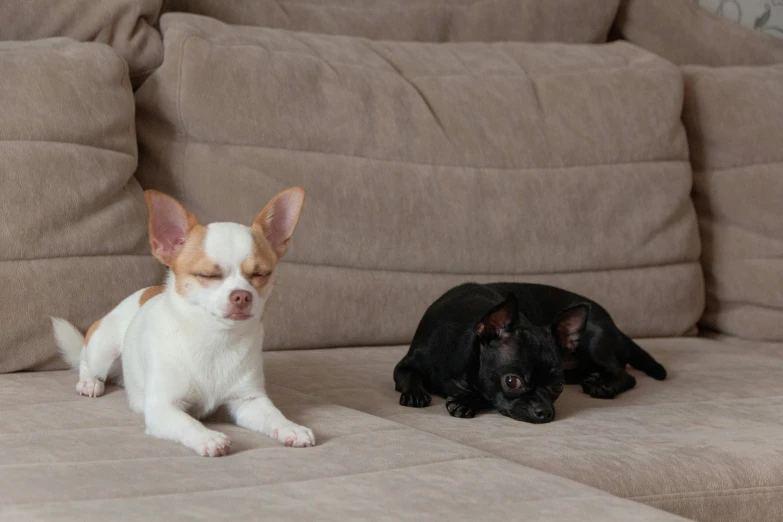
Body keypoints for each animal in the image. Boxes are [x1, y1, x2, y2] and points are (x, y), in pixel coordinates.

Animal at [50, 188, 316, 456]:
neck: (215, 339)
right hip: (103, 347)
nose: (242, 295)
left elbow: (274, 415)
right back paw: (89, 383)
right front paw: (209, 437)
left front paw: (291, 428)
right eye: (208, 275)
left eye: (261, 274)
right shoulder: (163, 408)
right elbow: (189, 422)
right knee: (86, 364)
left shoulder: (248, 402)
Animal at [396, 280, 664, 422]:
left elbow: (486, 393)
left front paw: (465, 401)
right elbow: (407, 375)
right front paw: (415, 393)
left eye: (557, 386)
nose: (545, 412)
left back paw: (604, 385)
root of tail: (615, 326)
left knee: (625, 374)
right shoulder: (407, 364)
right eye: (511, 382)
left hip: (595, 340)